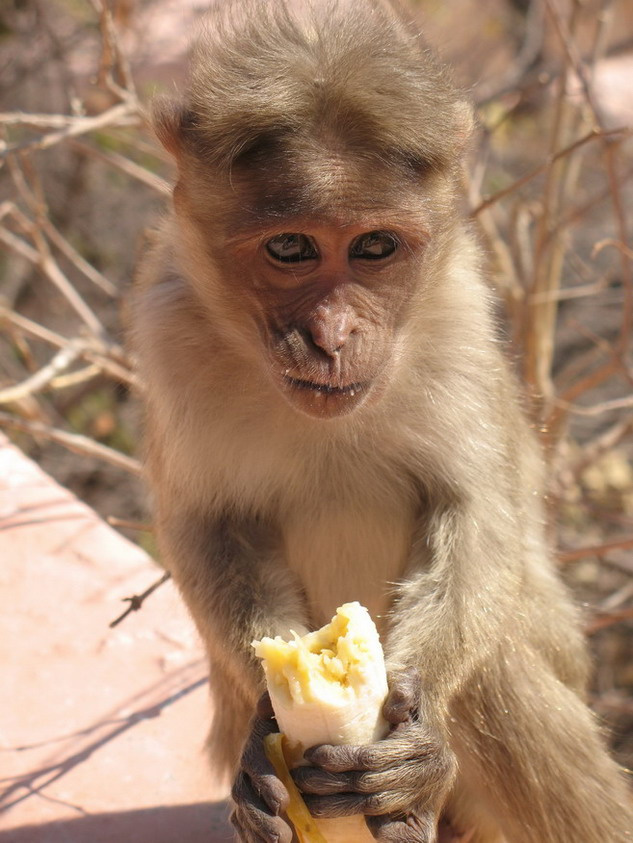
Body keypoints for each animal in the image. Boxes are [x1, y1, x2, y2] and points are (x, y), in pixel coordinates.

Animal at [131, 0, 633, 840]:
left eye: (373, 246)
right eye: (290, 247)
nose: (333, 333)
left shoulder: (460, 317)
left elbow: (473, 513)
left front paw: (415, 743)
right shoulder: (168, 332)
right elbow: (209, 524)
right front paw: (265, 739)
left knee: (494, 673)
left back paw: (412, 795)